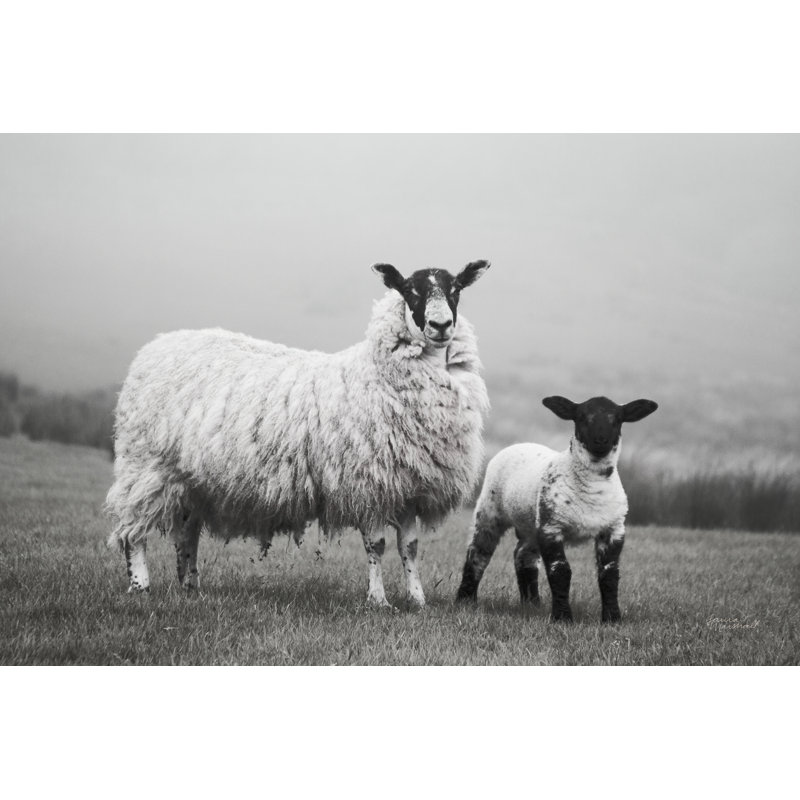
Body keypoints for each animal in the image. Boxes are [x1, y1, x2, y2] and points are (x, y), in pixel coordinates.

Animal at [106, 260, 491, 607]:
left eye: (456, 289)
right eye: (410, 290)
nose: (441, 325)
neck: (375, 373)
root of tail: (155, 346)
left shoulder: (410, 487)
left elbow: (409, 547)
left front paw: (417, 600)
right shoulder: (368, 484)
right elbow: (377, 546)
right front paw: (378, 601)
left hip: (192, 480)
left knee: (186, 534)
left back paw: (190, 587)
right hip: (146, 465)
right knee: (133, 530)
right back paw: (140, 586)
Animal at [456, 395, 657, 622]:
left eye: (617, 419)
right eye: (581, 417)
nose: (601, 441)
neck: (592, 487)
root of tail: (521, 443)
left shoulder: (614, 530)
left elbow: (609, 573)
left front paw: (612, 619)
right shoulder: (551, 527)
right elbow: (560, 571)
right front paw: (562, 617)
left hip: (531, 524)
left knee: (524, 555)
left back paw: (532, 603)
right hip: (490, 511)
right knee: (478, 554)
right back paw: (465, 600)